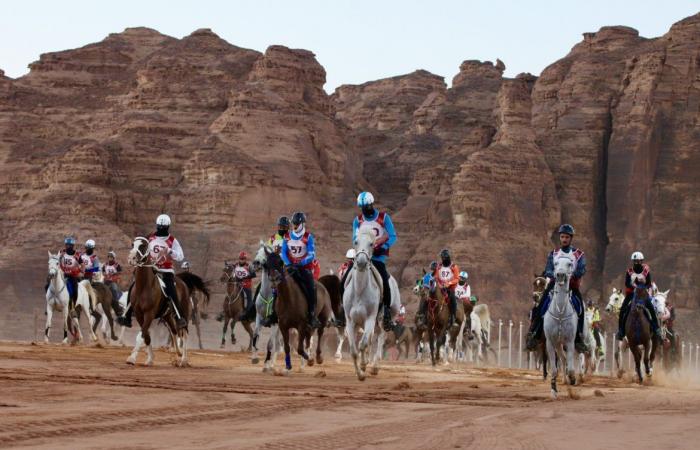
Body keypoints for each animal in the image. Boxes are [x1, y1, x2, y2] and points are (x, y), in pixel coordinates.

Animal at [126, 237, 191, 368]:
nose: (131, 258)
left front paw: (132, 358)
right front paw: (150, 359)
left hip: (184, 314)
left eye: (143, 246)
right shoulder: (139, 315)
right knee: (174, 331)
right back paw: (178, 354)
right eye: (133, 244)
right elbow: (146, 336)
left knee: (184, 333)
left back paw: (183, 360)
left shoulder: (149, 314)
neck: (144, 287)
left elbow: (141, 335)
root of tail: (183, 283)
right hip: (167, 316)